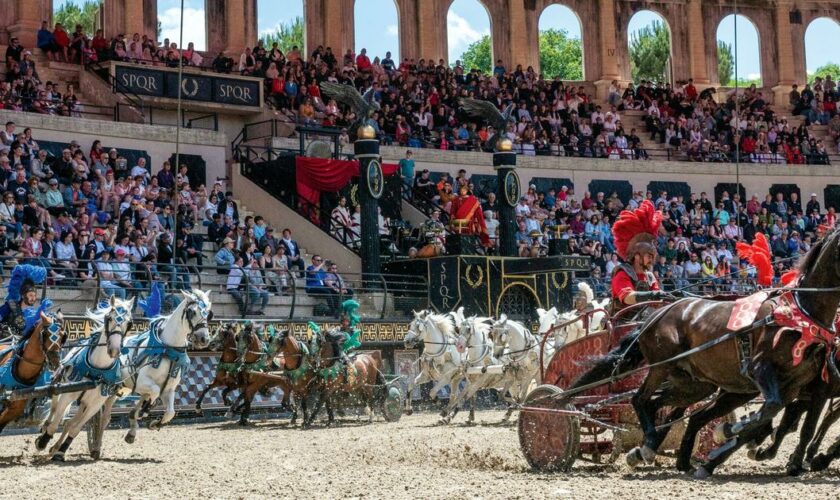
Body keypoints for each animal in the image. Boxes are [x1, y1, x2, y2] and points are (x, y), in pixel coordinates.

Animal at [35, 296, 135, 460]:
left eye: (130, 323)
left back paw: (58, 448)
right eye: (109, 318)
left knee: (77, 422)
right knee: (54, 410)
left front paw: (61, 451)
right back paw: (45, 431)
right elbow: (56, 422)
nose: (114, 350)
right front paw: (43, 441)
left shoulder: (95, 404)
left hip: (96, 401)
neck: (97, 370)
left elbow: (76, 428)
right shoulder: (68, 395)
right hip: (60, 387)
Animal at [572, 229, 840, 478]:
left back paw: (673, 455)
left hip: (699, 384)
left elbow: (778, 417)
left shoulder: (796, 388)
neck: (800, 314)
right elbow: (775, 414)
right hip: (663, 365)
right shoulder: (765, 370)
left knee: (669, 407)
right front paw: (733, 434)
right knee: (641, 399)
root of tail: (656, 314)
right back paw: (649, 446)